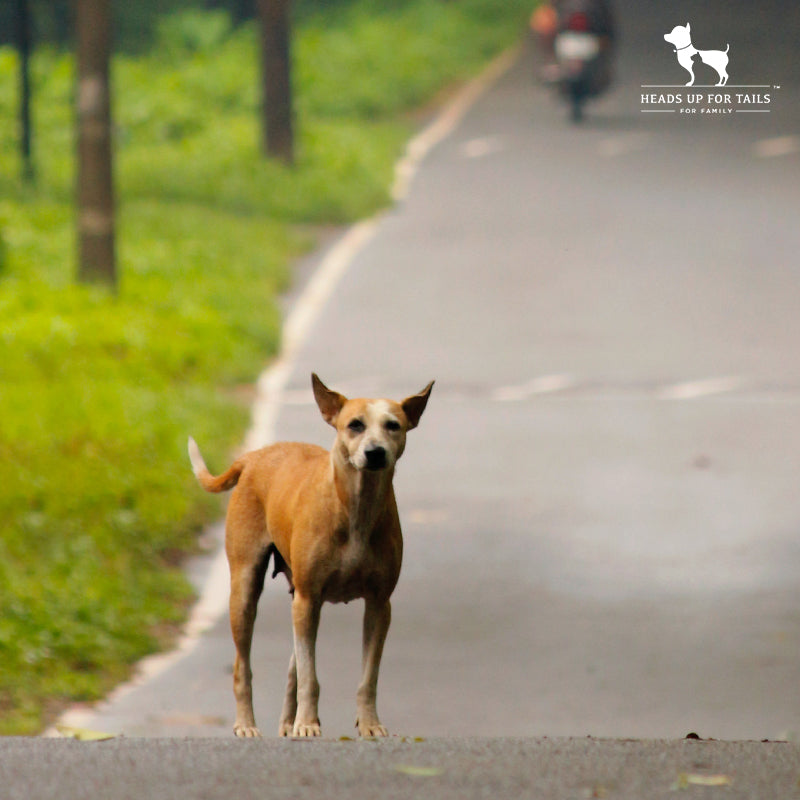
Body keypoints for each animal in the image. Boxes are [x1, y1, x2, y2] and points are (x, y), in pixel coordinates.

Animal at [188, 376, 434, 736]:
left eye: (393, 425)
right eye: (355, 425)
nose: (375, 453)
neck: (355, 507)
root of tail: (254, 456)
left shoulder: (379, 604)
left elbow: (368, 676)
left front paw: (369, 724)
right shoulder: (308, 599)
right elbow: (309, 676)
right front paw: (307, 724)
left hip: (299, 598)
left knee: (292, 666)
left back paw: (287, 722)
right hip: (248, 590)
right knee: (243, 665)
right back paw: (248, 724)